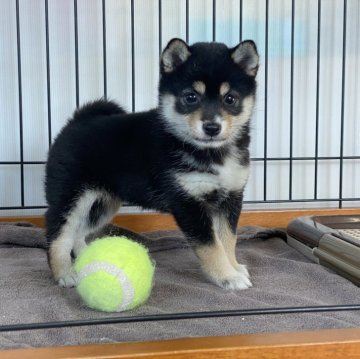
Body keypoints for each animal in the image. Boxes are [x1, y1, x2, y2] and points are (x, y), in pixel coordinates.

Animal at [45, 37, 258, 290]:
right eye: (190, 97)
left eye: (230, 99)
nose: (212, 127)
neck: (212, 154)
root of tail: (74, 122)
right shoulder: (187, 202)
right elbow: (211, 246)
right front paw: (227, 276)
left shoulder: (230, 198)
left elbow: (228, 239)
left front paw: (234, 266)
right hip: (72, 196)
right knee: (59, 233)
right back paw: (64, 273)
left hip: (102, 204)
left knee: (78, 232)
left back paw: (87, 256)